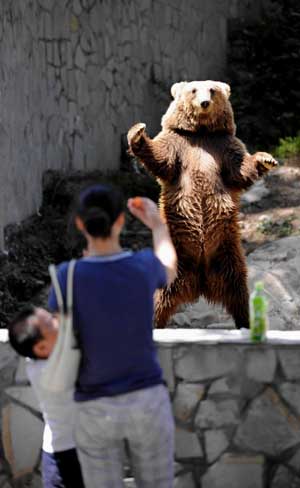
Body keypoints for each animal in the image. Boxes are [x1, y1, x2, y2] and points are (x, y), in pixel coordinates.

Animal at [126, 81, 276, 328]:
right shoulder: (179, 145)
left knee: (239, 293)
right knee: (159, 297)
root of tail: (201, 282)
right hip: (176, 254)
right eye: (194, 90)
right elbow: (161, 158)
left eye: (212, 90)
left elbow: (239, 170)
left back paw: (245, 322)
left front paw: (266, 158)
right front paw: (138, 131)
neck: (201, 133)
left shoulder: (223, 147)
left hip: (227, 253)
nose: (205, 103)